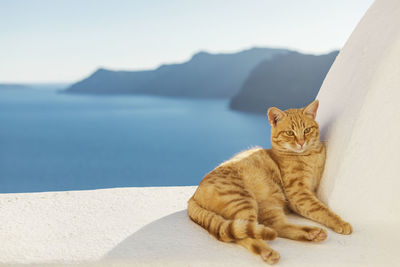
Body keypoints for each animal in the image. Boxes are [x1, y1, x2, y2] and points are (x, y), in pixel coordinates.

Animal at [187, 100, 350, 266]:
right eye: (290, 133)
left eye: (307, 130)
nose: (301, 142)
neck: (309, 156)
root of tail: (193, 197)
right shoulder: (299, 194)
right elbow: (321, 209)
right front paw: (341, 223)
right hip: (242, 200)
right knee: (245, 235)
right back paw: (268, 252)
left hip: (269, 205)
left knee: (276, 227)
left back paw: (312, 234)